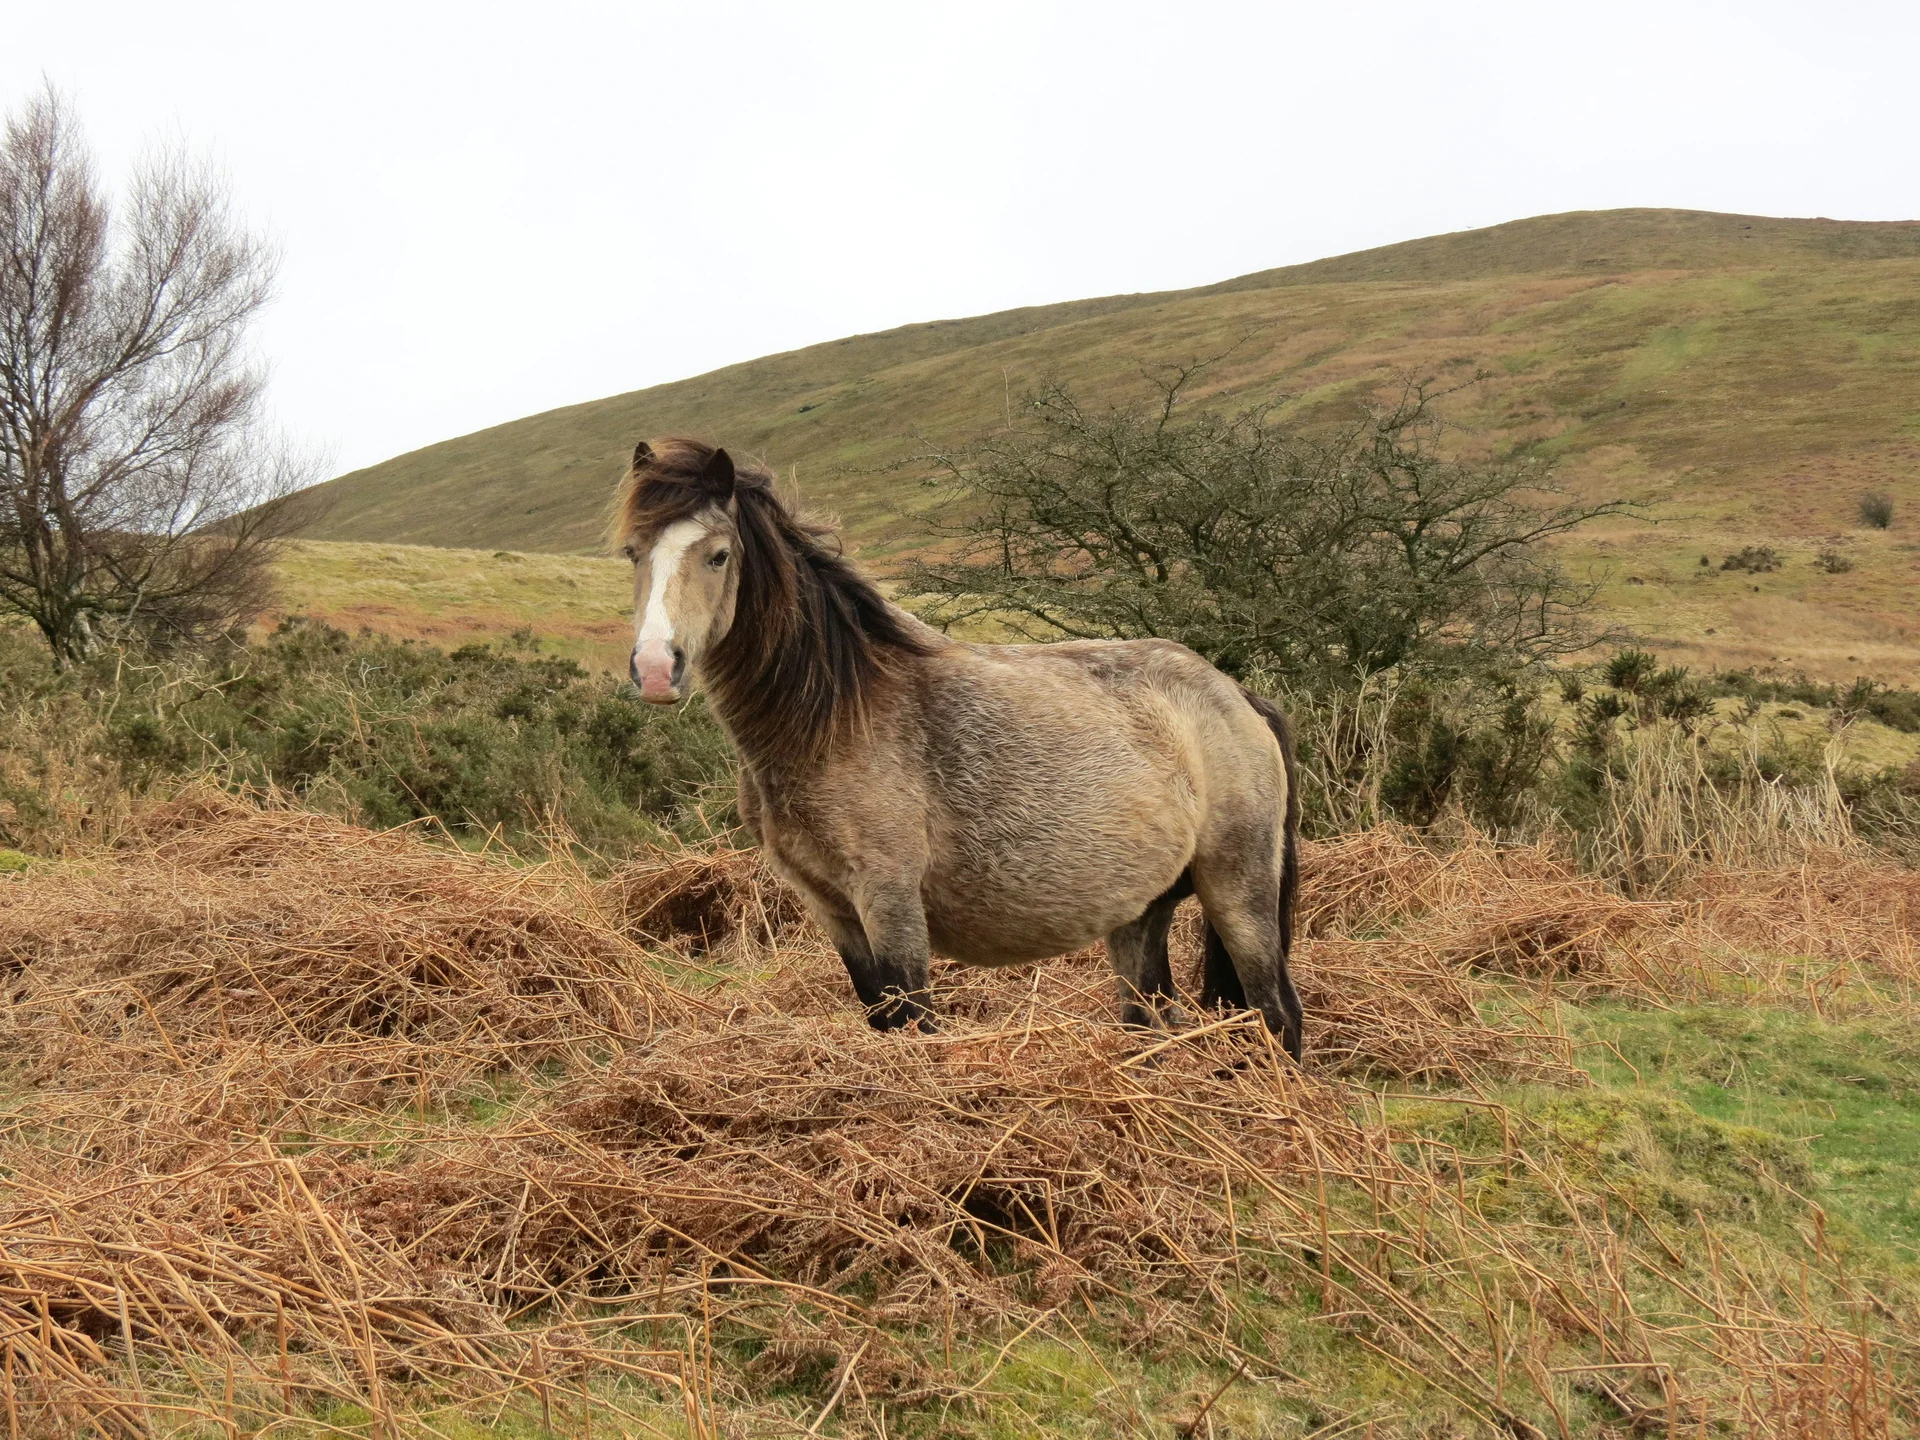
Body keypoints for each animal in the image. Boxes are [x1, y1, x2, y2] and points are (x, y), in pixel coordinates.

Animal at [614, 437, 1307, 1060]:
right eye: (633, 553)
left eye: (718, 555)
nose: (655, 670)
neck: (836, 716)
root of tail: (1236, 695)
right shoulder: (834, 911)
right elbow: (884, 1023)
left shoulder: (890, 902)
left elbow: (917, 1028)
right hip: (1140, 913)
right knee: (1152, 1021)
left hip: (1238, 891)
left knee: (1278, 1013)